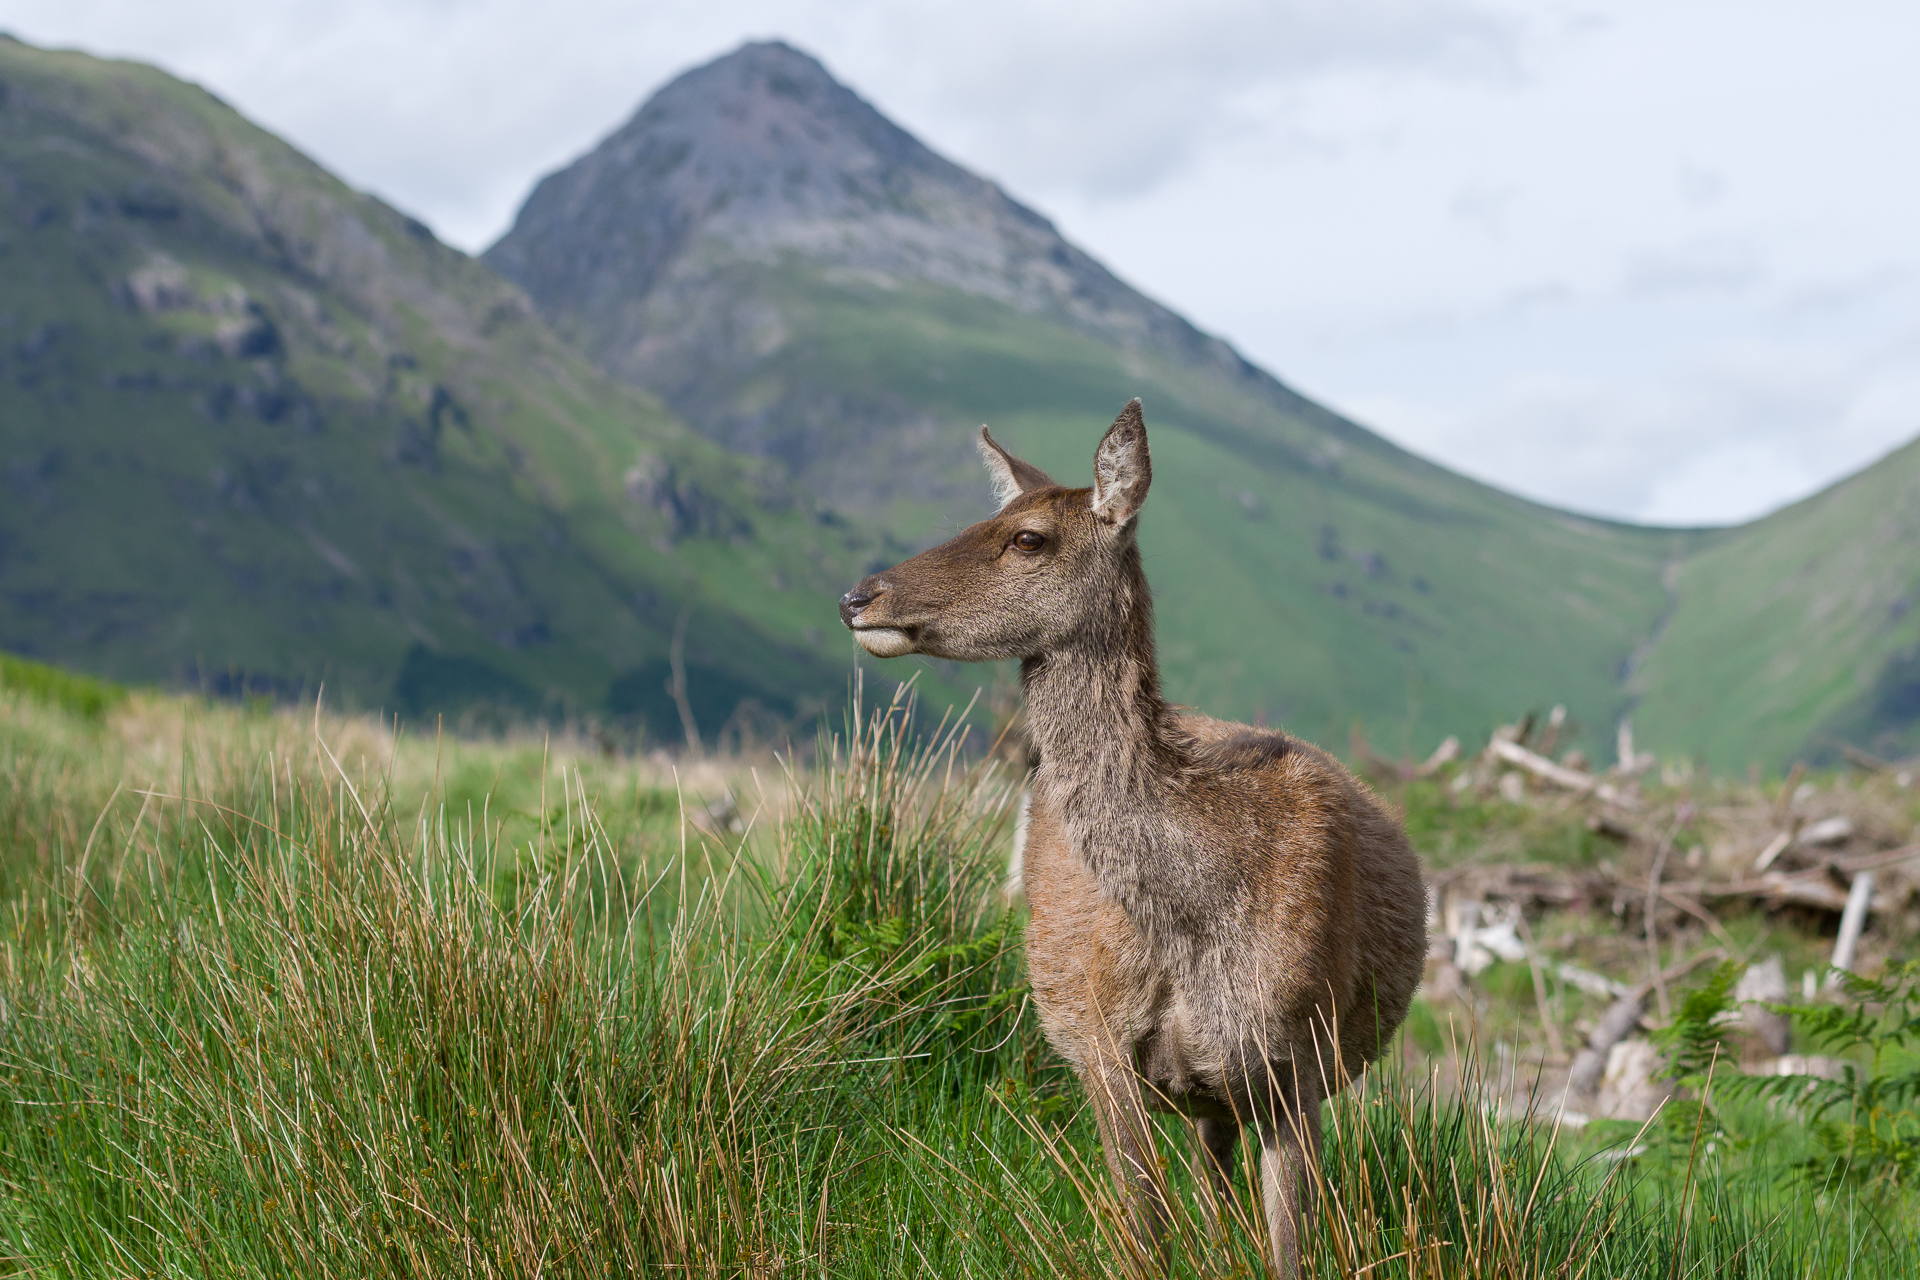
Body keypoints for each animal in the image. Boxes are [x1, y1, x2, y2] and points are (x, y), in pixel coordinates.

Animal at [838, 401, 1428, 1276]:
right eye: (983, 515)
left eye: (1028, 537)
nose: (857, 595)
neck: (1202, 911)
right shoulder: (1102, 1044)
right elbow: (1144, 1232)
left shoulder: (1299, 1062)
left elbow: (1291, 1250)